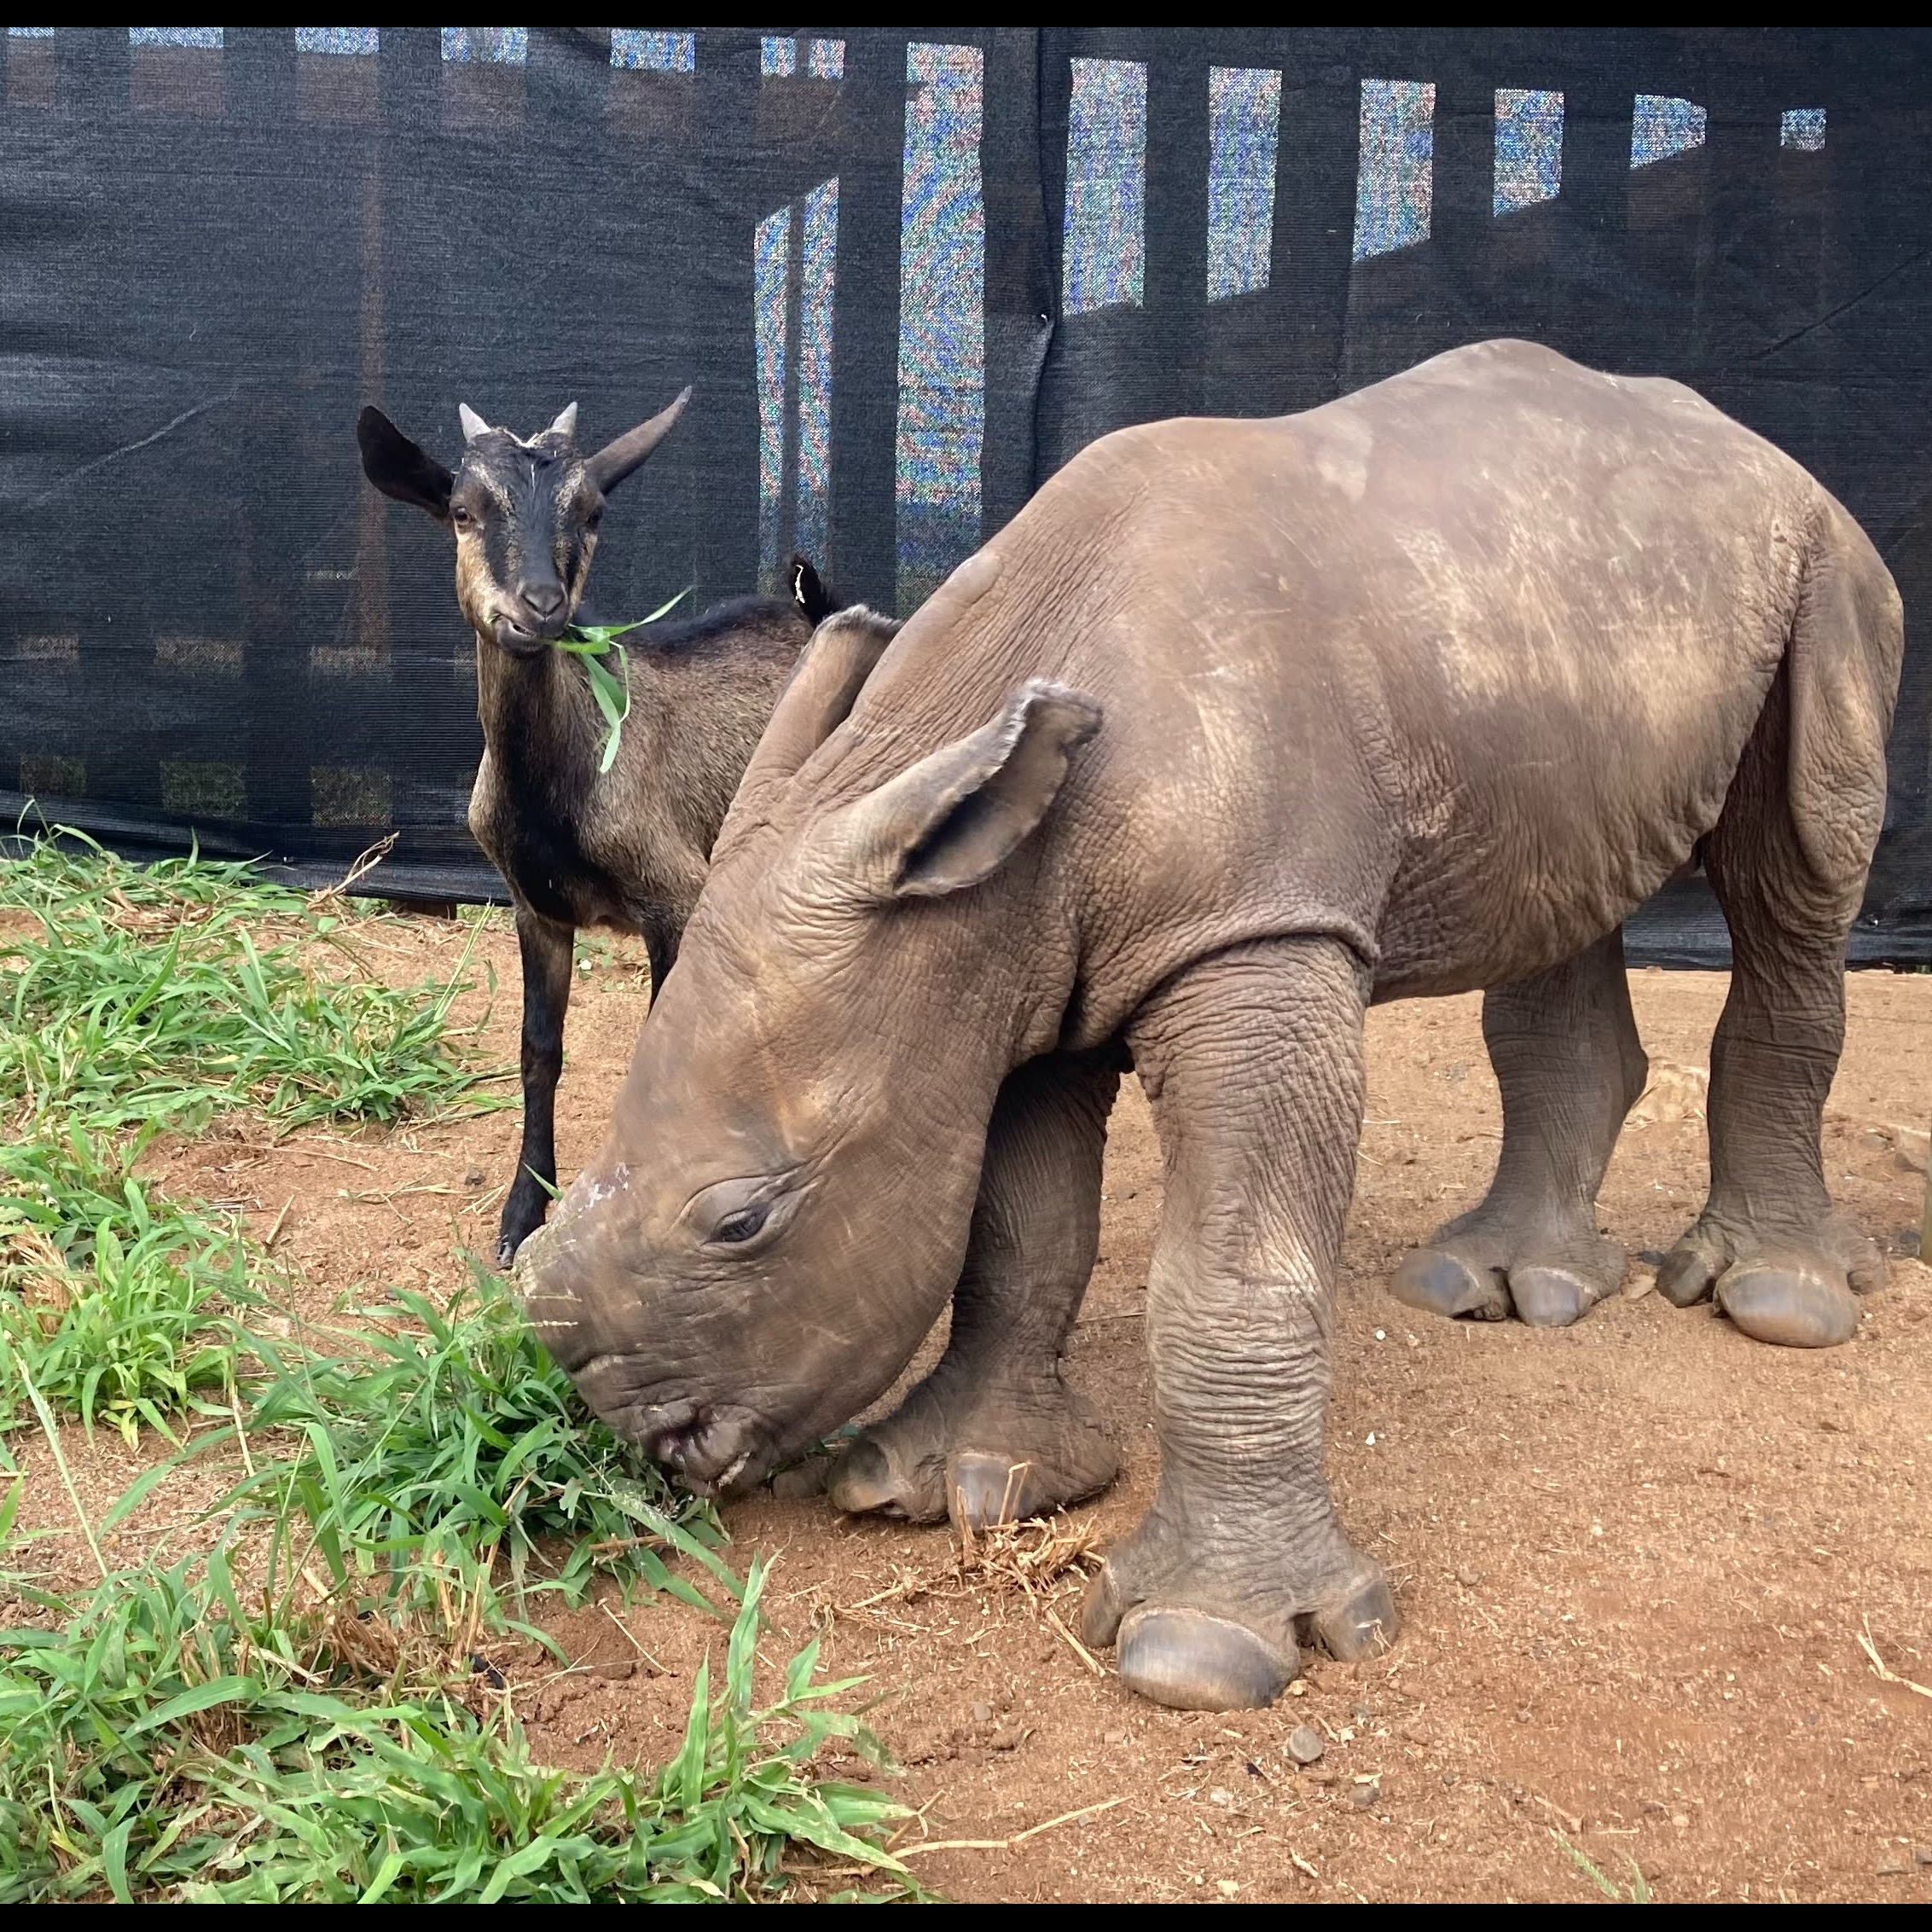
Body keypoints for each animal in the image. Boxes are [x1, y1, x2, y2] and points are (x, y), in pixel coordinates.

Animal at [517, 340, 1902, 1712]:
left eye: (743, 1222)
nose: (639, 1435)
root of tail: (1744, 440)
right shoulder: (1020, 961)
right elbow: (1015, 1233)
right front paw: (960, 1485)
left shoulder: (1255, 933)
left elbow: (1229, 1276)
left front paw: (1203, 1649)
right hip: (1558, 605)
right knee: (1570, 872)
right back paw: (1501, 1287)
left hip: (1821, 559)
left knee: (1794, 872)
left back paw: (1776, 1302)